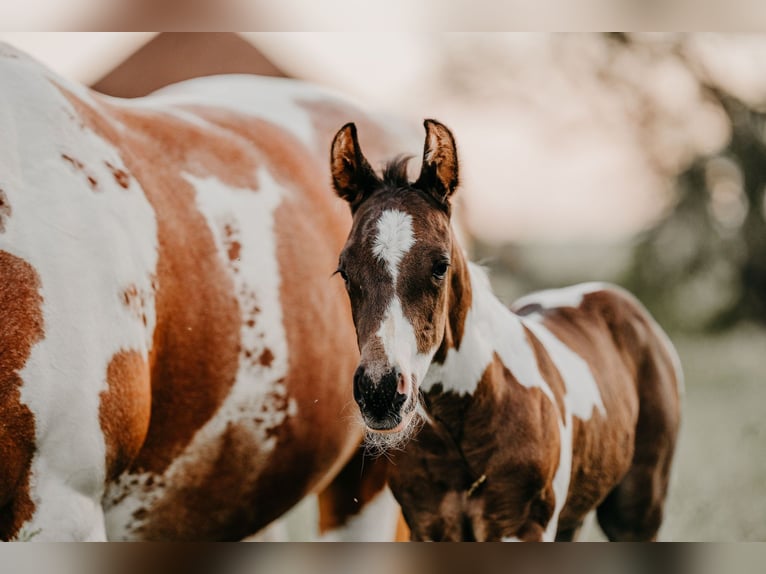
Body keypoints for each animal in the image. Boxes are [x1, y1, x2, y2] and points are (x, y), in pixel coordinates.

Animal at [329, 119, 683, 541]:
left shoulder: (520, 526)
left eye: (440, 266)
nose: (379, 391)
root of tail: (623, 303)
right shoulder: (430, 526)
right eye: (344, 271)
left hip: (637, 508)